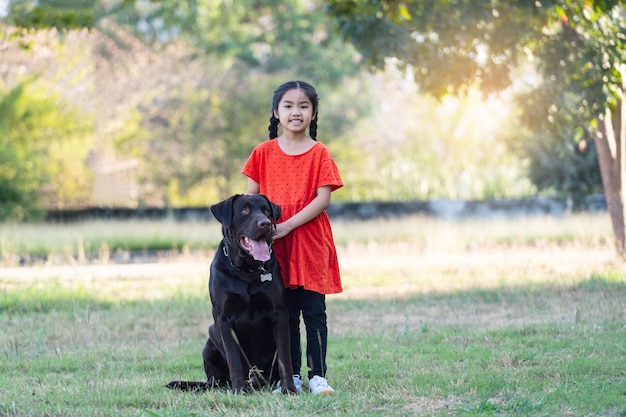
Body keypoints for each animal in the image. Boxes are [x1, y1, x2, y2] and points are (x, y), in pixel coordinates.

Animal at [163, 194, 294, 394]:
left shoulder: (278, 313)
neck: (247, 270)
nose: (265, 224)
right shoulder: (223, 318)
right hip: (210, 341)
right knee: (215, 380)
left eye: (266, 211)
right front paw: (239, 389)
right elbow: (234, 357)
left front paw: (289, 389)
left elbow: (284, 356)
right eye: (244, 210)